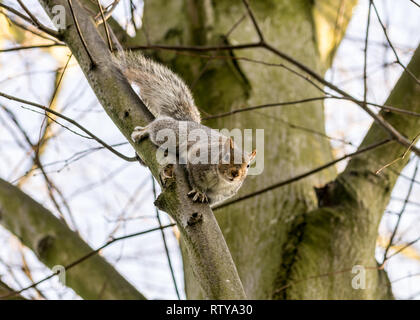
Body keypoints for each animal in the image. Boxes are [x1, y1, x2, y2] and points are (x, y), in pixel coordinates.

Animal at [118, 51, 256, 206]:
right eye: (226, 156)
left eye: (248, 166)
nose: (235, 174)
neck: (220, 179)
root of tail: (187, 122)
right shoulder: (198, 159)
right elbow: (194, 178)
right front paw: (198, 191)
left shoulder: (222, 194)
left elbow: (212, 199)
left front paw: (204, 196)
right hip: (171, 133)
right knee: (157, 126)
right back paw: (142, 132)